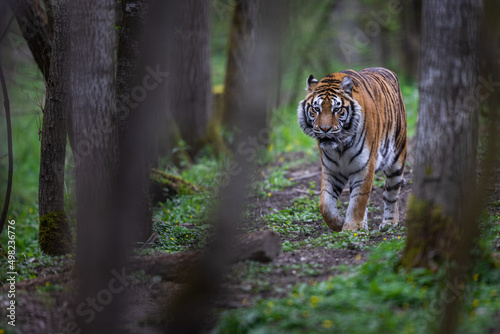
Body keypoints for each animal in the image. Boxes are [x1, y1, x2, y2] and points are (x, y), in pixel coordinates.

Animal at [296, 66, 406, 231]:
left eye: (337, 109)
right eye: (316, 109)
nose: (325, 129)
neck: (340, 145)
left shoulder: (364, 166)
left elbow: (358, 201)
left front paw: (351, 228)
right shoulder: (331, 169)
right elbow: (325, 203)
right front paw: (339, 223)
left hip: (397, 160)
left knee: (391, 194)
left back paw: (389, 223)